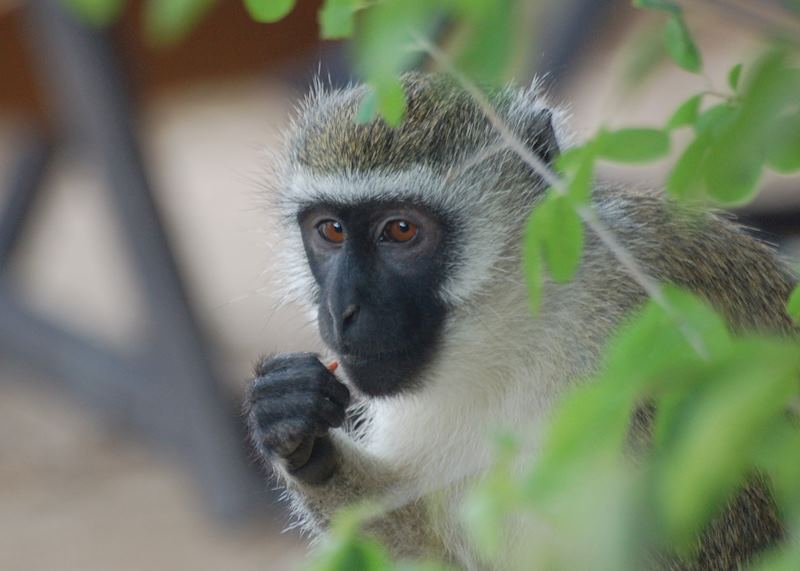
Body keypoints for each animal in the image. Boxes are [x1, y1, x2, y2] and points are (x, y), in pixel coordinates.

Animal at [243, 73, 797, 570]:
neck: (523, 323)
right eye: (331, 231)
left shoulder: (653, 350)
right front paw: (292, 421)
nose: (343, 309)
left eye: (400, 230)